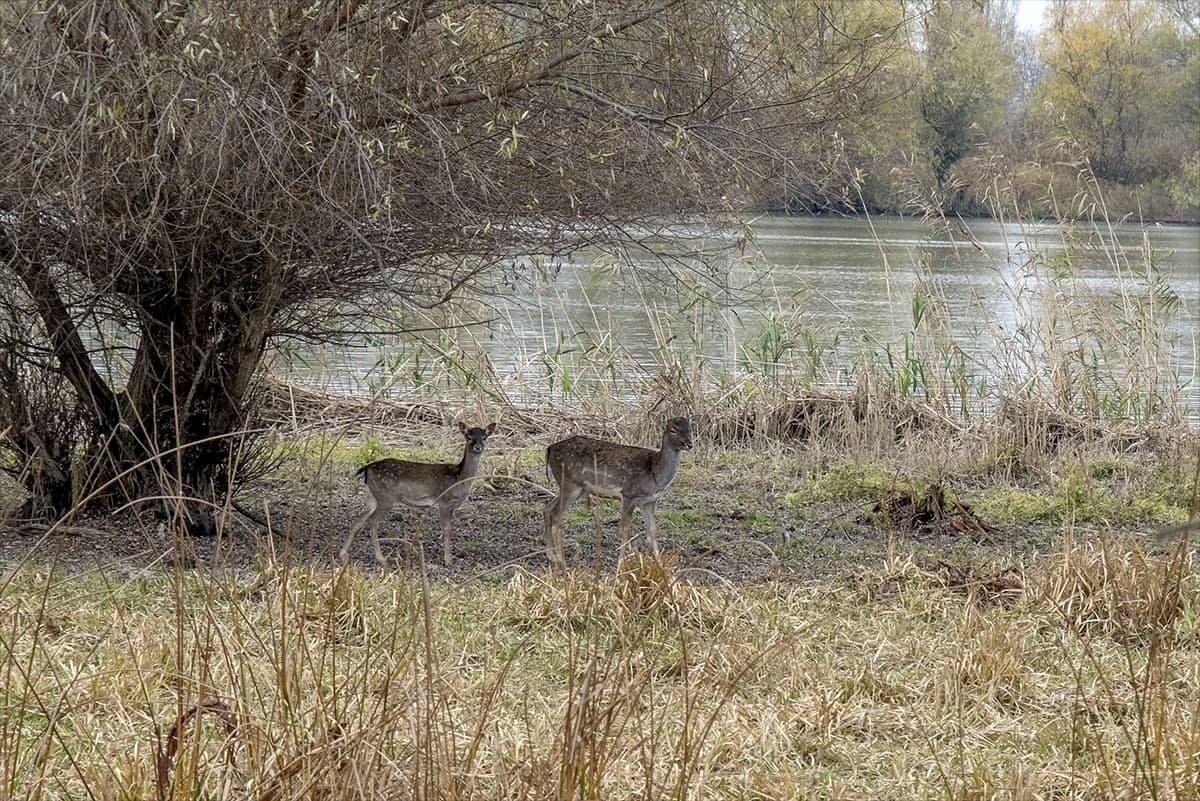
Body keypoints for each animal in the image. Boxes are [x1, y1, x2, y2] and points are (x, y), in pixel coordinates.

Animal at [343, 422, 496, 565]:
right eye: (469, 437)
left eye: (484, 437)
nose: (478, 447)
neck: (459, 479)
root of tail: (367, 468)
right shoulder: (443, 501)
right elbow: (447, 529)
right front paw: (447, 560)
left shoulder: (451, 506)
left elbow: (449, 529)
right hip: (386, 497)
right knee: (373, 521)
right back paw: (381, 558)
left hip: (372, 496)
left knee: (360, 518)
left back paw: (343, 553)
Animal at [544, 417, 696, 565]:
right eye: (673, 430)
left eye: (689, 428)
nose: (689, 444)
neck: (654, 473)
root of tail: (549, 448)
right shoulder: (629, 495)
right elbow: (625, 529)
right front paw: (621, 564)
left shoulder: (649, 501)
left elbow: (652, 529)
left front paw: (659, 564)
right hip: (570, 484)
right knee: (556, 515)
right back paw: (561, 560)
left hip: (576, 488)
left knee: (548, 508)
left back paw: (551, 556)